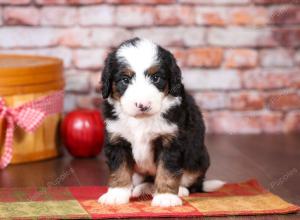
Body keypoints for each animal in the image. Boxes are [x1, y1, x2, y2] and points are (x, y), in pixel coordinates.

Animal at [97, 37, 224, 207]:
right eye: (125, 79)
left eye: (156, 78)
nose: (143, 105)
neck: (142, 120)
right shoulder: (117, 139)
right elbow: (120, 169)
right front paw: (116, 195)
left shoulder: (171, 141)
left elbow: (167, 170)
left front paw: (166, 197)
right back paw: (143, 189)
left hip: (198, 159)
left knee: (193, 182)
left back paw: (180, 190)